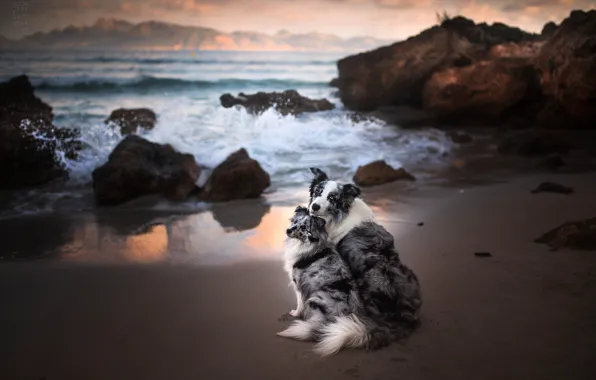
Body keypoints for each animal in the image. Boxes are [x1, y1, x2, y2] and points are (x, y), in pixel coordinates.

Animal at [278, 205, 394, 356]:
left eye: (303, 227)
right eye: (295, 222)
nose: (288, 230)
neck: (309, 244)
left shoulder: (299, 284)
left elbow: (300, 304)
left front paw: (296, 313)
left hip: (316, 299)